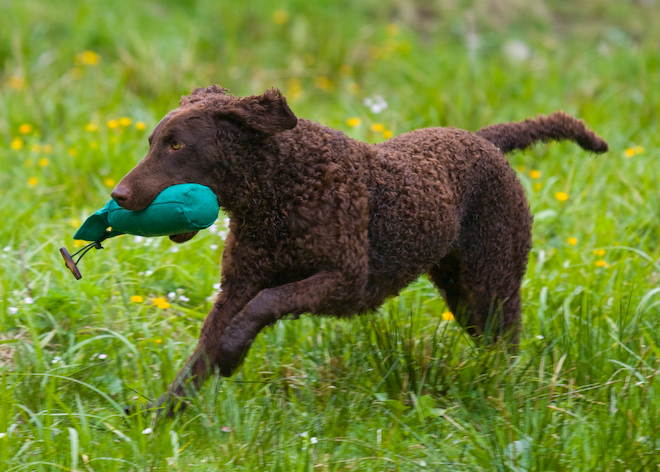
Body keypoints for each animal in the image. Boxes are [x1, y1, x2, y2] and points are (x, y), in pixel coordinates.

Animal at [111, 85, 604, 412]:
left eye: (177, 145)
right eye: (153, 142)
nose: (117, 195)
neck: (280, 188)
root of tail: (483, 140)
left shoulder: (345, 282)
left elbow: (265, 303)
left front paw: (231, 351)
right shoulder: (238, 283)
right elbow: (201, 351)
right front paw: (160, 415)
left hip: (491, 281)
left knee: (508, 341)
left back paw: (504, 391)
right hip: (462, 293)